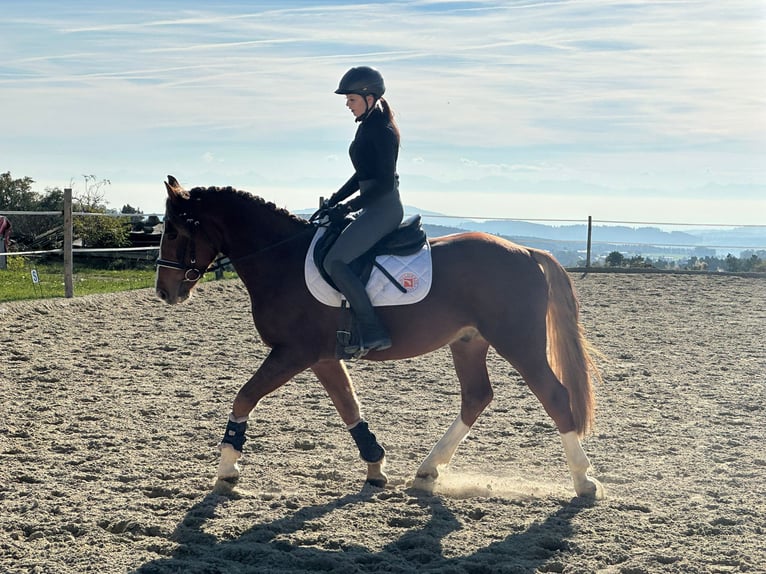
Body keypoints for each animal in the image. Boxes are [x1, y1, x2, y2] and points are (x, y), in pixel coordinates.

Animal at [156, 176, 608, 500]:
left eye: (175, 231)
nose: (164, 291)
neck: (281, 258)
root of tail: (528, 252)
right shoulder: (323, 357)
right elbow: (348, 407)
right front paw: (375, 467)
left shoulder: (295, 352)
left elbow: (244, 396)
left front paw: (227, 470)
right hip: (468, 342)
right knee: (476, 397)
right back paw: (427, 471)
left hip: (518, 341)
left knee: (554, 395)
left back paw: (584, 482)